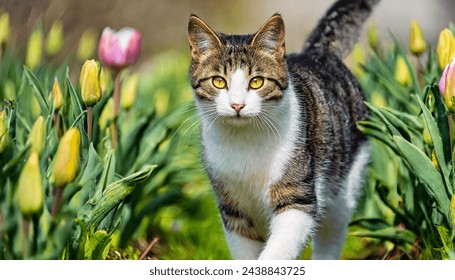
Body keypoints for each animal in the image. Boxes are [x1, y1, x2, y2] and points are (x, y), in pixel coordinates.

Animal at [187, 0, 380, 260]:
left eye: (256, 82)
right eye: (218, 82)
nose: (237, 105)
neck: (245, 141)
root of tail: (319, 52)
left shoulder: (297, 200)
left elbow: (276, 252)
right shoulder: (233, 210)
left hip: (345, 182)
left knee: (331, 234)